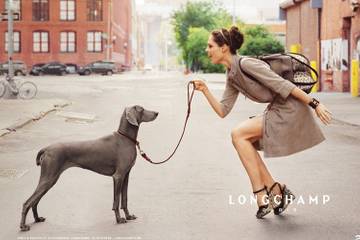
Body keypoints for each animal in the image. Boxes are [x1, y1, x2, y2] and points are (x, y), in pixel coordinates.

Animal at [19, 105, 158, 231]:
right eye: (141, 109)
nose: (157, 113)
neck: (125, 138)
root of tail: (46, 148)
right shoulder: (118, 176)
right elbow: (116, 201)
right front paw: (119, 219)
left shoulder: (126, 175)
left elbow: (124, 199)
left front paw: (128, 216)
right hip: (49, 178)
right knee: (27, 202)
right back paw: (23, 226)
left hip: (50, 179)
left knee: (35, 201)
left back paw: (37, 219)